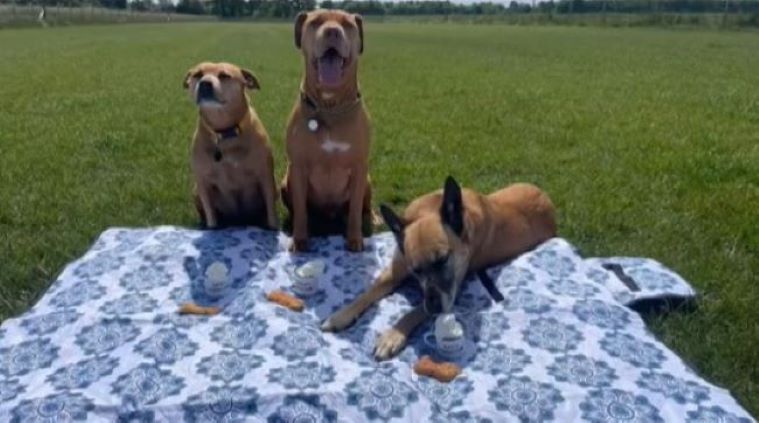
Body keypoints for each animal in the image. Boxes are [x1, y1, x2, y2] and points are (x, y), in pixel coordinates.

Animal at [184, 61, 280, 230]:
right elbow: (210, 214)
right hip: (195, 191)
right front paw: (212, 227)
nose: (205, 83)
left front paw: (272, 227)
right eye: (198, 74)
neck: (225, 133)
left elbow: (271, 212)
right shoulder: (203, 181)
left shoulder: (265, 176)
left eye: (224, 75)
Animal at [282, 9, 372, 253]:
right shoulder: (298, 166)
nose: (332, 31)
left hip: (368, 180)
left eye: (348, 24)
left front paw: (355, 239)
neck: (330, 108)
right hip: (285, 180)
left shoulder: (359, 167)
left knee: (363, 207)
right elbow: (301, 209)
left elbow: (355, 210)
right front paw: (300, 239)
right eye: (315, 22)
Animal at [320, 176, 560, 362]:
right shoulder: (396, 270)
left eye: (443, 259)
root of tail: (547, 199)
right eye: (415, 270)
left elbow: (415, 311)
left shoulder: (452, 290)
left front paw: (393, 335)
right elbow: (368, 292)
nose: (436, 308)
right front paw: (341, 315)